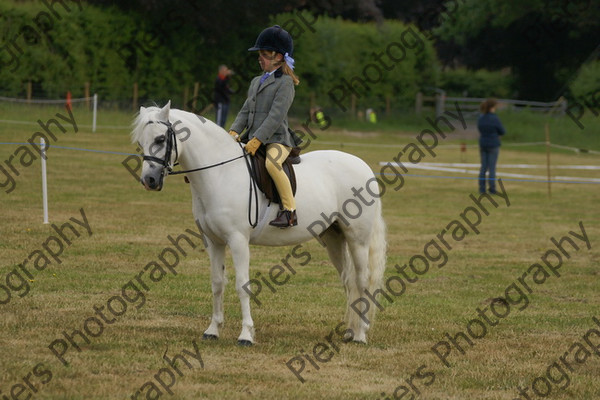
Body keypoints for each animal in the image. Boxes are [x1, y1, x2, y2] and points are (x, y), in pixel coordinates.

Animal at [132, 101, 386, 346]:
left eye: (160, 139)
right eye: (141, 142)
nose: (149, 181)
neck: (221, 173)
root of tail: (363, 166)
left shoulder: (238, 240)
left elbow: (242, 285)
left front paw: (246, 335)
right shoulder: (213, 241)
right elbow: (217, 283)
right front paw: (213, 330)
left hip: (357, 239)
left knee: (362, 280)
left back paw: (361, 334)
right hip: (333, 237)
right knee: (349, 281)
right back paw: (349, 331)